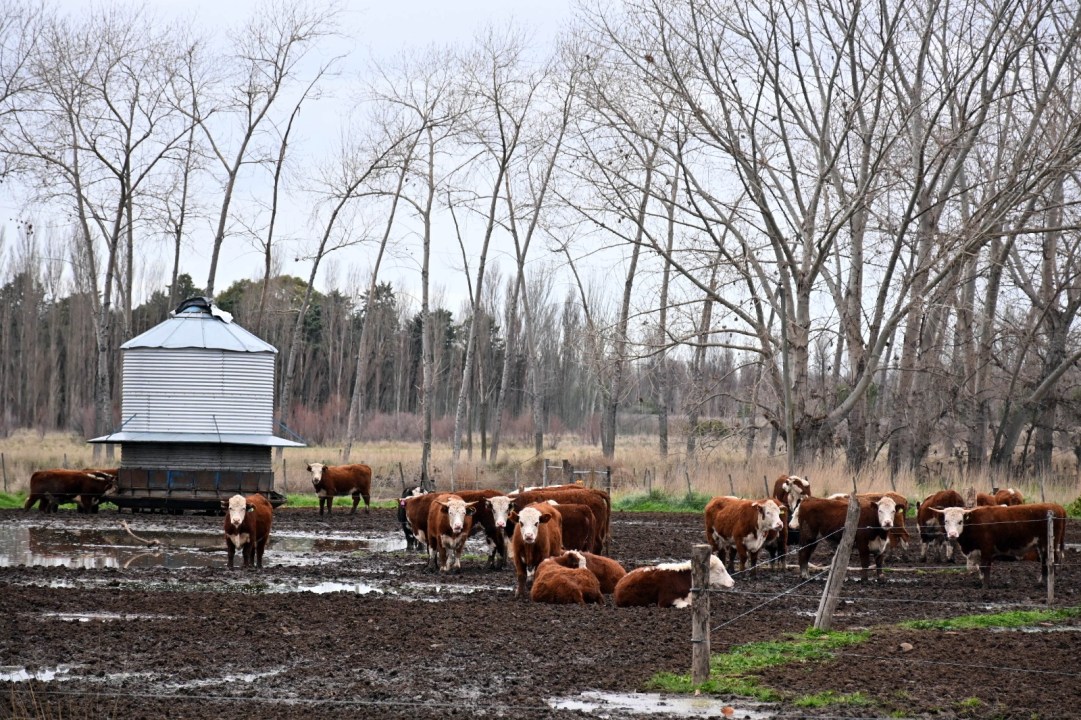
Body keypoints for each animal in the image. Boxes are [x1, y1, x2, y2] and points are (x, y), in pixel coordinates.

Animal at [929, 503, 1066, 589]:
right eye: (946, 521)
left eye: (960, 521)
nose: (952, 534)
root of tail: (1058, 507)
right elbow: (980, 569)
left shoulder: (986, 550)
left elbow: (985, 567)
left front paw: (985, 586)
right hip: (1042, 546)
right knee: (1044, 562)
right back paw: (1041, 582)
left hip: (1049, 545)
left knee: (1051, 561)